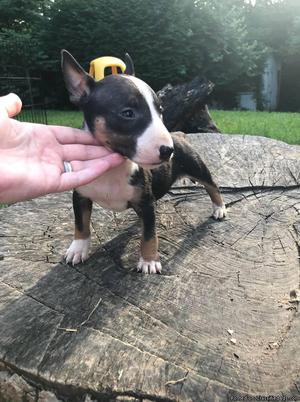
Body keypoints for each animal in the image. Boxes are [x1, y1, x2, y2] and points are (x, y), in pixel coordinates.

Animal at [62, 50, 226, 274]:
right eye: (127, 113)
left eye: (160, 111)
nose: (168, 151)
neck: (112, 168)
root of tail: (179, 135)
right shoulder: (80, 196)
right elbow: (81, 223)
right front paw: (78, 249)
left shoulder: (146, 203)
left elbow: (149, 235)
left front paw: (148, 261)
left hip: (196, 166)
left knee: (212, 184)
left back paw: (219, 208)